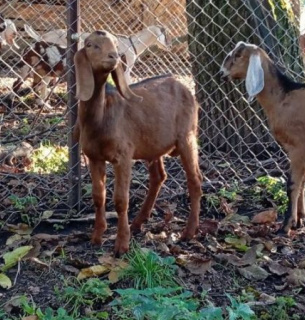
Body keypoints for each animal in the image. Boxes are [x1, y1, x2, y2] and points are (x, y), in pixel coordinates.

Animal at [73, 30, 202, 255]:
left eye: (115, 44)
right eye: (90, 45)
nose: (114, 57)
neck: (101, 116)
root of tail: (181, 84)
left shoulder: (123, 157)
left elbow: (121, 200)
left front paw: (121, 245)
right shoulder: (94, 157)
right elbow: (98, 197)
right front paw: (96, 237)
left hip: (187, 137)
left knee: (194, 181)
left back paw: (188, 232)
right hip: (154, 144)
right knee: (158, 177)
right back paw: (138, 222)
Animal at [220, 40, 304, 235]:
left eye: (238, 55)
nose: (221, 73)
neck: (284, 97)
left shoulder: (298, 147)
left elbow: (293, 185)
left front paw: (286, 226)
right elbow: (302, 185)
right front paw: (299, 221)